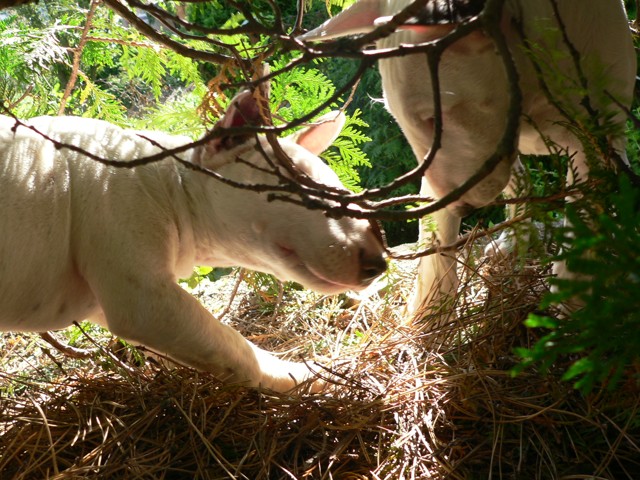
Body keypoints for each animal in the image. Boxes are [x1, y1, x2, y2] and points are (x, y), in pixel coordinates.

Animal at [0, 90, 387, 392]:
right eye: (298, 185)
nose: (378, 265)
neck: (168, 185)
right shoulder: (142, 296)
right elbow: (236, 348)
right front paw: (312, 377)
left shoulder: (107, 297)